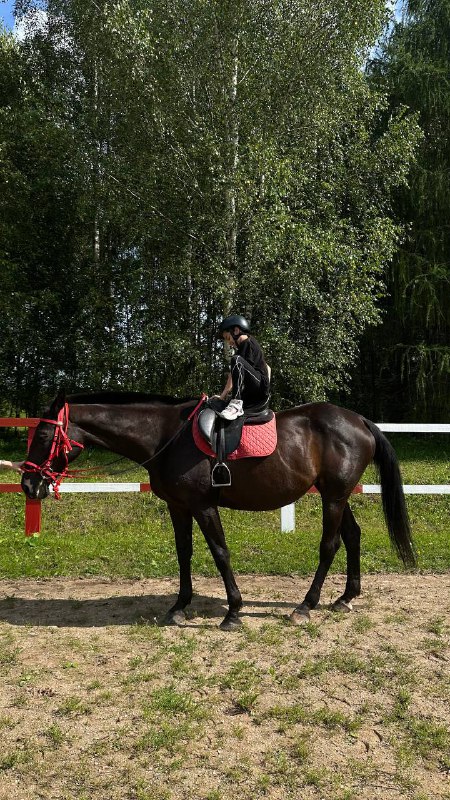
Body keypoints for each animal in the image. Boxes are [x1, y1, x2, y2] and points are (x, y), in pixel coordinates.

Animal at [21, 390, 414, 632]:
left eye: (42, 437)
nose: (27, 484)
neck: (166, 436)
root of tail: (359, 420)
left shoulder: (203, 505)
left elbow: (220, 552)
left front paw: (233, 611)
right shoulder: (178, 506)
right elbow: (184, 553)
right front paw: (179, 607)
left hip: (332, 496)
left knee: (329, 546)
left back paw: (305, 606)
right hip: (337, 495)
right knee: (352, 536)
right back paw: (345, 598)